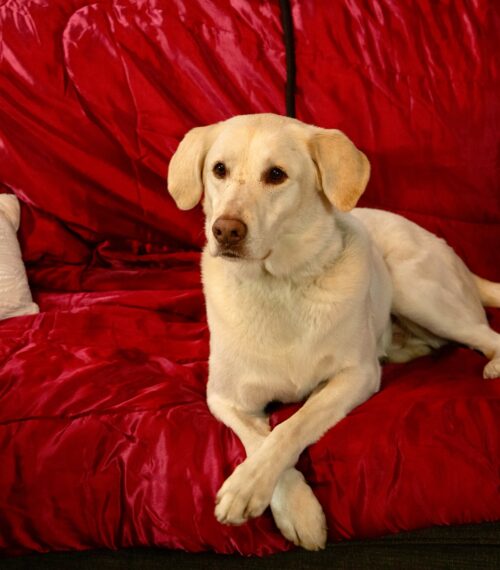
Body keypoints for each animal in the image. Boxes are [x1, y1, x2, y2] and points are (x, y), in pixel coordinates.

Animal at [167, 113, 500, 550]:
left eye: (276, 175)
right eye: (218, 170)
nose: (225, 231)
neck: (278, 287)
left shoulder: (356, 376)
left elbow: (291, 426)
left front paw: (248, 488)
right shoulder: (225, 399)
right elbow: (258, 438)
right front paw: (291, 506)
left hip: (416, 289)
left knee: (486, 334)